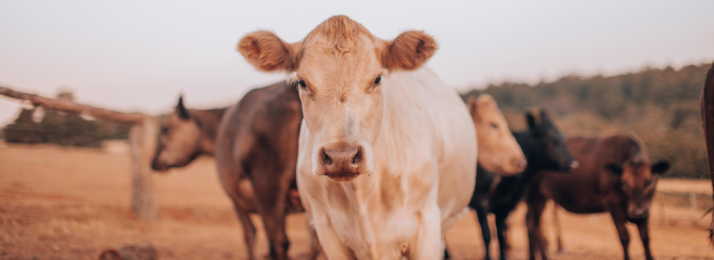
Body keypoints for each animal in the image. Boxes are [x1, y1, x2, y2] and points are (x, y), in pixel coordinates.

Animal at [524, 134, 668, 260]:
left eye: (650, 182)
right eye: (623, 183)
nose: (637, 211)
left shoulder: (646, 210)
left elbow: (645, 238)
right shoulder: (613, 205)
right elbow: (624, 236)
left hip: (540, 198)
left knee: (530, 222)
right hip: (534, 196)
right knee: (534, 225)